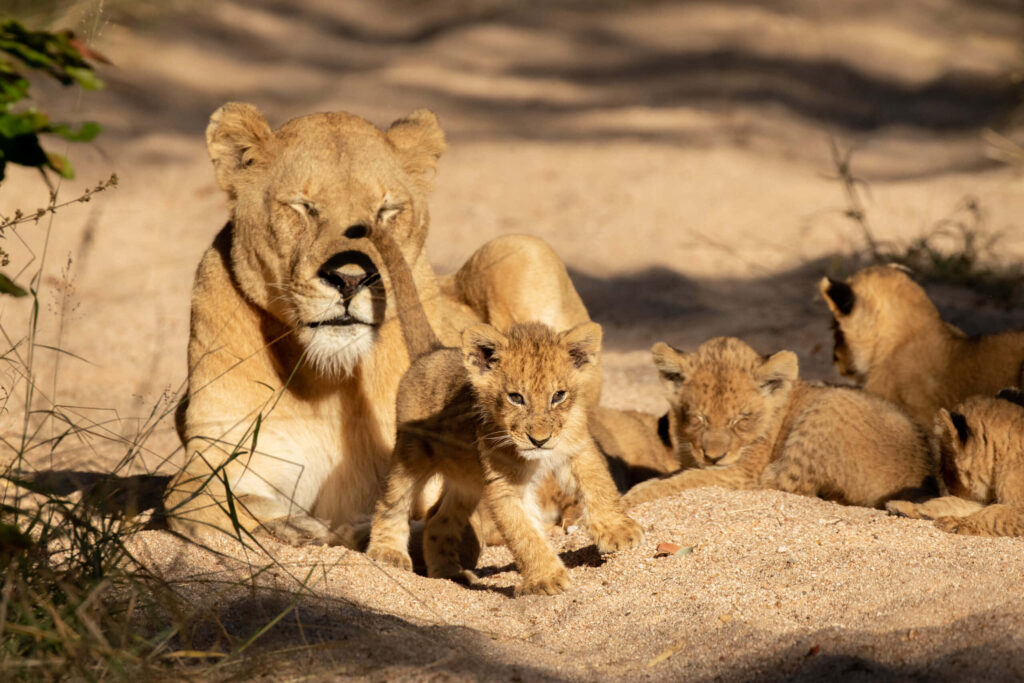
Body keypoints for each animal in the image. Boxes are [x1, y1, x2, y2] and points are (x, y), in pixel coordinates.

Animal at [165, 103, 595, 544]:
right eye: (303, 206)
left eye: (386, 211)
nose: (351, 277)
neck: (328, 382)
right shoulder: (220, 451)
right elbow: (193, 501)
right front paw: (296, 526)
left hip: (523, 249)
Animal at [362, 224, 641, 594]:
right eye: (515, 397)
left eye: (558, 395)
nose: (539, 440)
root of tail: (432, 351)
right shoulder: (502, 485)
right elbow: (524, 534)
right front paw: (546, 578)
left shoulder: (578, 449)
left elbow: (600, 486)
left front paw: (618, 531)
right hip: (411, 456)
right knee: (391, 503)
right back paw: (387, 554)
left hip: (466, 480)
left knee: (439, 519)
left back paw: (451, 575)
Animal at [622, 337, 937, 509]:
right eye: (698, 417)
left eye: (740, 419)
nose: (713, 456)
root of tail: (923, 475)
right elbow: (675, 475)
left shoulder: (741, 473)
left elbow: (684, 481)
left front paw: (628, 500)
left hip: (829, 405)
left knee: (786, 483)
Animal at [886, 390, 1024, 536]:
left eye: (943, 464)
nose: (945, 487)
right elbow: (953, 502)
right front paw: (910, 508)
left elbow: (995, 514)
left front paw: (957, 523)